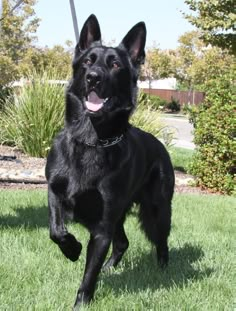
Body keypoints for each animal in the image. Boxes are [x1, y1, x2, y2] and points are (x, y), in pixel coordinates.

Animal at [46, 14, 174, 310]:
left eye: (115, 65)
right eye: (87, 62)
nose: (93, 78)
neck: (91, 141)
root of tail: (160, 145)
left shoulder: (103, 227)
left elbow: (89, 275)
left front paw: (81, 302)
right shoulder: (54, 192)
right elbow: (56, 230)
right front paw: (72, 249)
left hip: (157, 209)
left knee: (161, 241)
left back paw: (163, 270)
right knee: (123, 243)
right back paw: (110, 267)